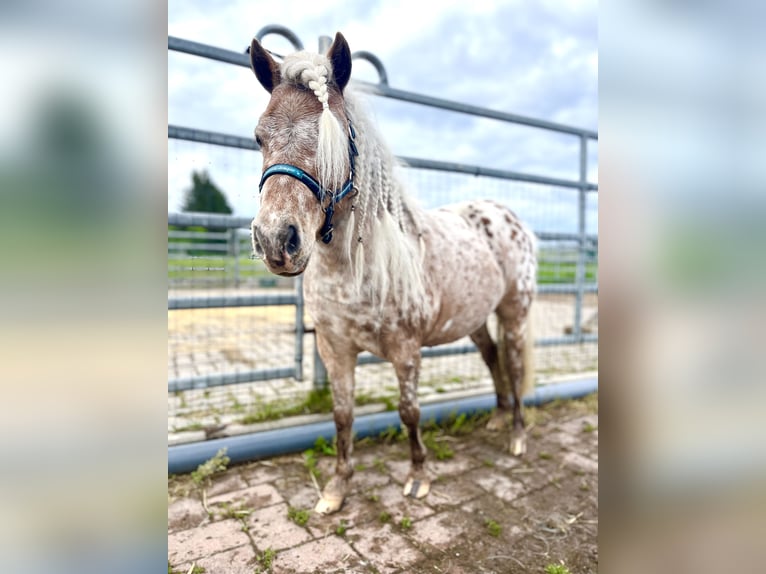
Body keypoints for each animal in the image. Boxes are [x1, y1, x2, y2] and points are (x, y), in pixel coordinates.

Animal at [249, 33, 536, 516]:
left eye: (334, 138)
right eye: (259, 137)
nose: (275, 240)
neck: (354, 270)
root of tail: (507, 216)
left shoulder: (406, 351)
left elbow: (409, 411)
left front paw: (418, 477)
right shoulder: (335, 350)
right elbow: (342, 415)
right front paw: (336, 489)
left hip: (514, 313)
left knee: (513, 365)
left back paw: (517, 436)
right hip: (475, 319)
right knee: (493, 356)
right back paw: (497, 420)